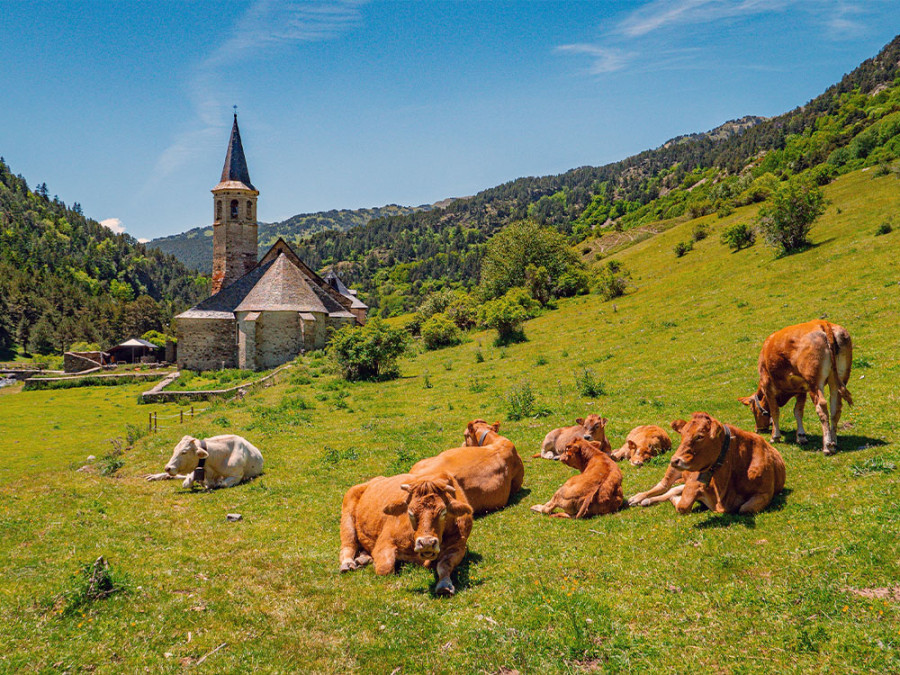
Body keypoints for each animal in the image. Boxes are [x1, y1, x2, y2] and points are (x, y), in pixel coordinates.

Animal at [338, 472, 474, 596]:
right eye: (410, 513)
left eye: (443, 512)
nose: (426, 543)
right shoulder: (385, 541)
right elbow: (385, 568)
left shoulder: (459, 547)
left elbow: (445, 565)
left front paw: (444, 585)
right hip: (347, 517)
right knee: (348, 545)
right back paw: (347, 564)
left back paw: (363, 559)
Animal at [628, 412, 784, 516]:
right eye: (682, 435)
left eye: (699, 436)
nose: (674, 460)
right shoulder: (694, 481)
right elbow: (682, 505)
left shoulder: (765, 492)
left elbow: (746, 508)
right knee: (664, 485)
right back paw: (638, 497)